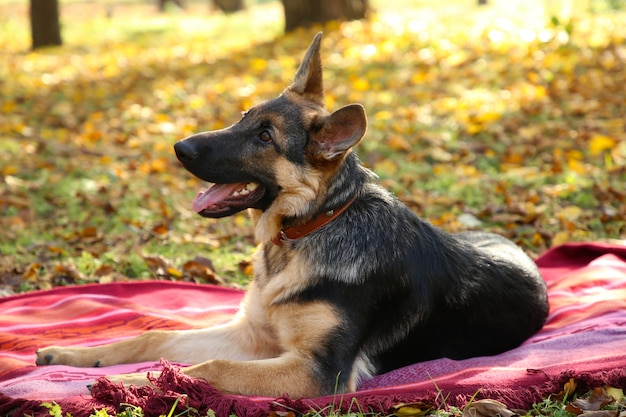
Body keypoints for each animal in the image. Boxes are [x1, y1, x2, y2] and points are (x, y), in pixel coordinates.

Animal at [36, 32, 548, 396]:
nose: (179, 148)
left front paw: (128, 383)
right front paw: (75, 355)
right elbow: (155, 338)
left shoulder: (316, 371)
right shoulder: (252, 336)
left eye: (265, 137)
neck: (309, 229)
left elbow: (205, 368)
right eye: (244, 116)